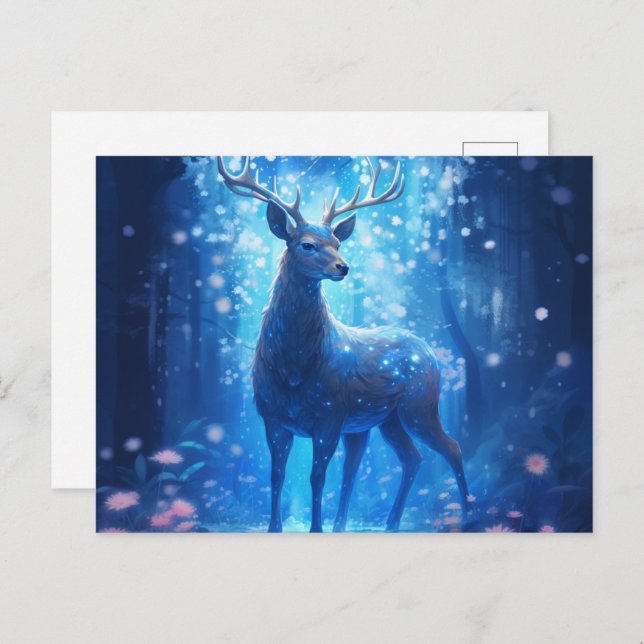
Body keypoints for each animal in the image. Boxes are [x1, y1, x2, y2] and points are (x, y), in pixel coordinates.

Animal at [217, 156, 470, 532]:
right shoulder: (273, 417)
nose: (343, 267)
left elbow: (317, 477)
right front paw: (275, 528)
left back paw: (470, 515)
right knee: (411, 457)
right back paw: (388, 524)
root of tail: (431, 352)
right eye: (307, 244)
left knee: (451, 446)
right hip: (385, 420)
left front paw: (315, 529)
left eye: (338, 243)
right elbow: (276, 475)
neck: (295, 369)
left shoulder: (330, 414)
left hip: (419, 404)